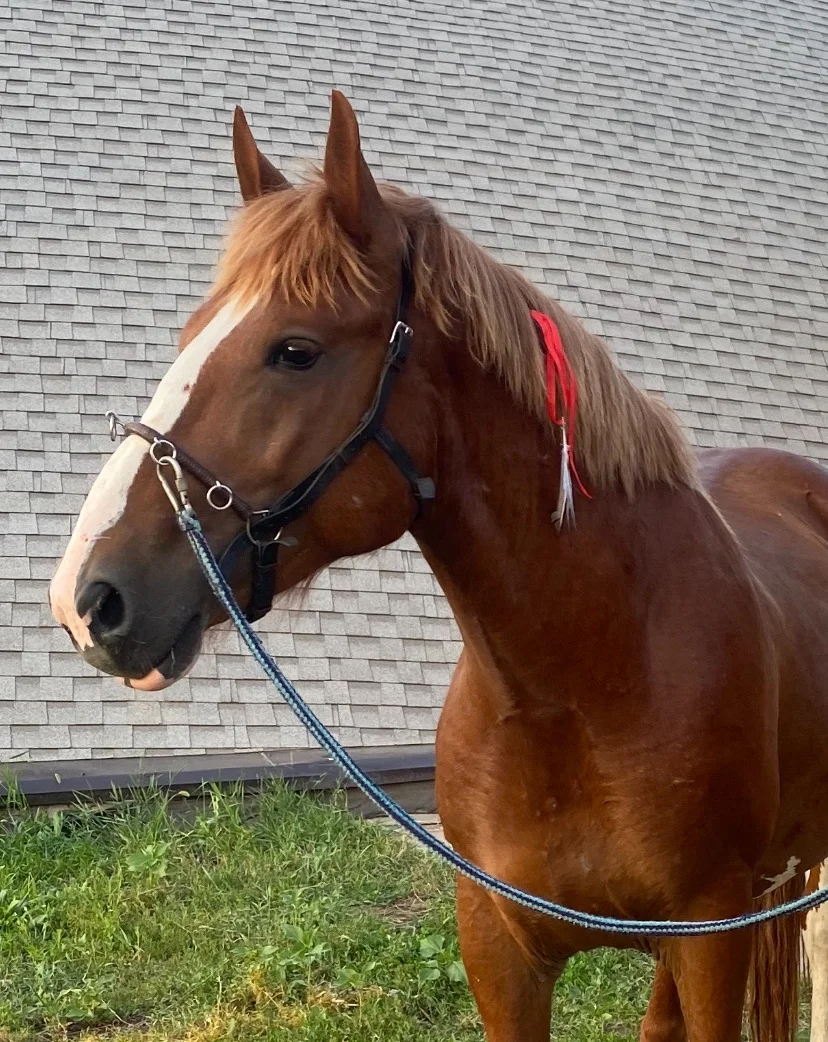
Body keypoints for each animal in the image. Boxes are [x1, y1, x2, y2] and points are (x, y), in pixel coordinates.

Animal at [49, 90, 828, 1041]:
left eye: (296, 350)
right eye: (192, 334)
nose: (87, 597)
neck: (590, 681)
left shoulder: (713, 935)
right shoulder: (499, 948)